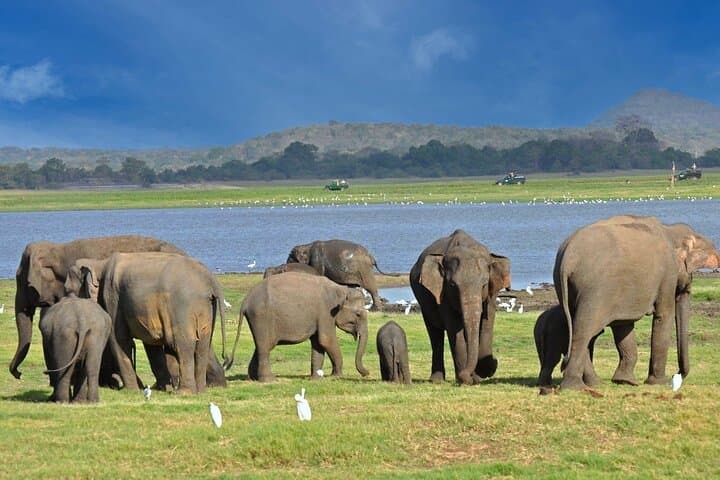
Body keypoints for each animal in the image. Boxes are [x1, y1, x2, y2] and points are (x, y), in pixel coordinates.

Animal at [75, 252, 228, 394]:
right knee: (203, 345)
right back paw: (200, 391)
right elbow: (151, 344)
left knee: (184, 344)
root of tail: (210, 279)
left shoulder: (112, 296)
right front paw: (161, 388)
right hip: (207, 307)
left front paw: (132, 390)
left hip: (183, 307)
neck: (100, 262)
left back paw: (184, 392)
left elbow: (118, 339)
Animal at [227, 272, 370, 382]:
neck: (341, 289)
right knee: (265, 346)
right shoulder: (325, 312)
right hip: (261, 317)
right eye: (358, 314)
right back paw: (270, 380)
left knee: (261, 345)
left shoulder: (320, 316)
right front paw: (337, 376)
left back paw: (252, 378)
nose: (366, 373)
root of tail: (245, 301)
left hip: (257, 320)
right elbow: (326, 340)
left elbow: (318, 343)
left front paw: (316, 379)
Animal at [409, 229, 511, 385]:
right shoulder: (442, 293)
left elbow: (487, 323)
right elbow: (453, 328)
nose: (495, 360)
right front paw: (467, 379)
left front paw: (484, 371)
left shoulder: (491, 294)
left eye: (484, 284)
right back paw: (437, 380)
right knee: (435, 334)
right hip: (424, 301)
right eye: (452, 285)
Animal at [554, 215, 720, 390]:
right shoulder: (667, 273)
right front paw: (658, 382)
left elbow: (623, 325)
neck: (670, 229)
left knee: (577, 327)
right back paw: (574, 387)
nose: (677, 374)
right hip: (594, 292)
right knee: (584, 330)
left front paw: (625, 381)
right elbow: (664, 316)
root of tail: (568, 258)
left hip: (568, 288)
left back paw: (594, 383)